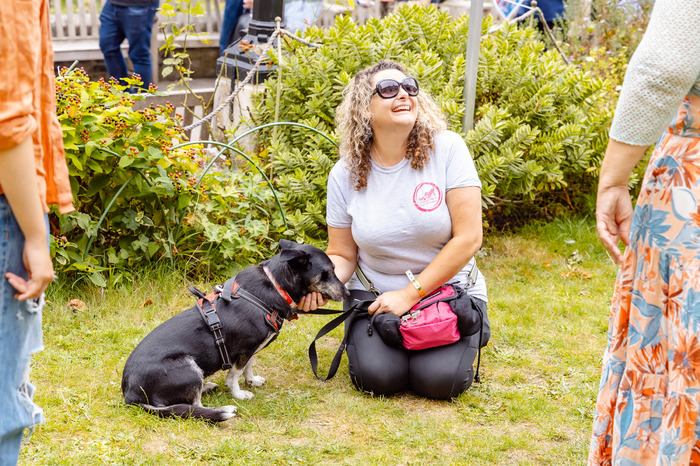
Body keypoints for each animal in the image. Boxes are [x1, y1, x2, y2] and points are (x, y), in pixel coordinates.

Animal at [123, 240, 350, 422]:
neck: (276, 286)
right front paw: (239, 394)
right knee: (193, 408)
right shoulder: (244, 349)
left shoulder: (252, 348)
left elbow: (249, 366)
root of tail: (130, 394)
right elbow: (234, 374)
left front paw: (251, 381)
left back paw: (207, 386)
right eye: (329, 273)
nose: (348, 293)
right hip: (187, 366)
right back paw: (220, 408)